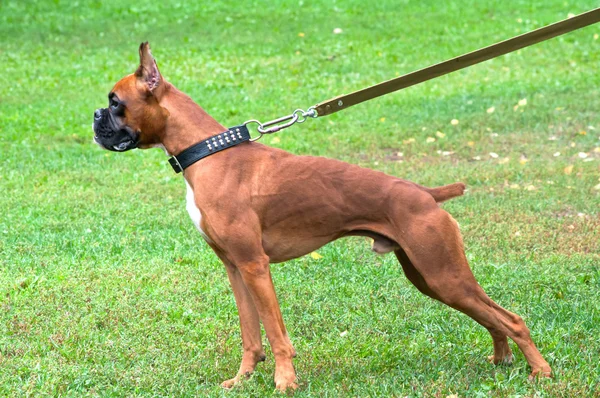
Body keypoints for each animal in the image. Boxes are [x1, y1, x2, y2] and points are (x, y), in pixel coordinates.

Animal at [92, 42, 548, 390]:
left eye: (116, 103)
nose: (95, 116)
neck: (209, 152)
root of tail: (425, 195)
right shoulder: (235, 268)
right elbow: (250, 334)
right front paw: (242, 380)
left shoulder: (255, 266)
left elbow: (276, 333)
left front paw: (285, 383)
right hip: (432, 278)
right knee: (491, 316)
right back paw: (502, 360)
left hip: (443, 273)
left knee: (512, 318)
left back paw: (539, 371)